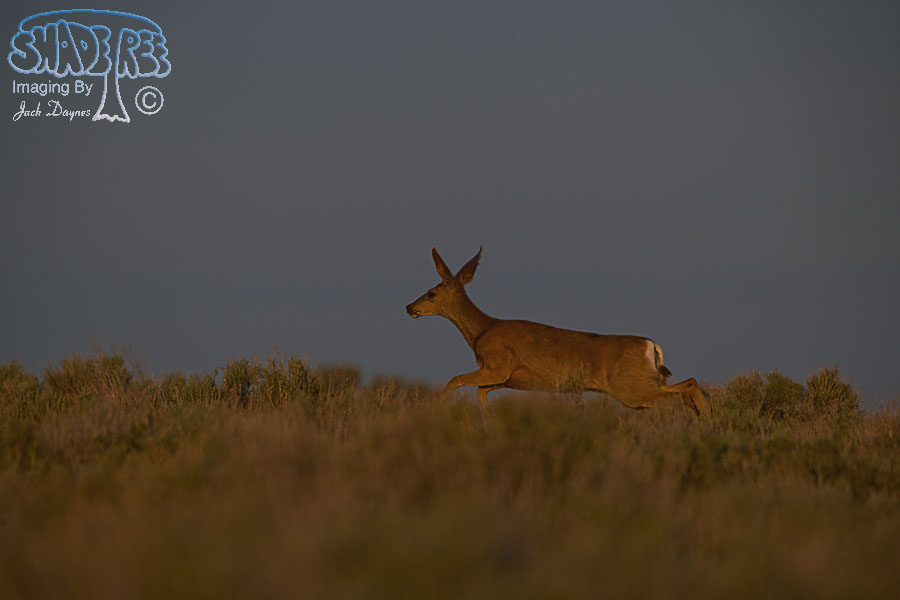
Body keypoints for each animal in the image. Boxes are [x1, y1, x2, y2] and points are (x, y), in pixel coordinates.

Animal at [405, 247, 710, 417]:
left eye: (431, 293)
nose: (409, 307)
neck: (482, 330)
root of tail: (651, 346)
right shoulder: (506, 377)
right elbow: (480, 393)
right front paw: (487, 421)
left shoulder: (497, 366)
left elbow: (454, 380)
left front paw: (435, 412)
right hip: (646, 380)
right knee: (690, 384)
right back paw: (705, 422)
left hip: (629, 388)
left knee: (674, 399)